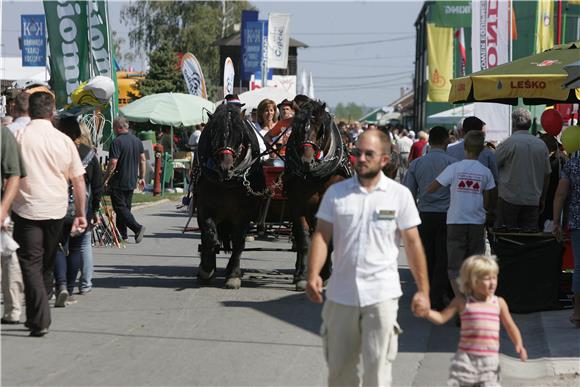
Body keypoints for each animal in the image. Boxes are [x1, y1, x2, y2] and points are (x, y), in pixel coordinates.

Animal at [196, 103, 266, 288]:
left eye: (240, 134)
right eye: (213, 133)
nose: (224, 168)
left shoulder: (244, 213)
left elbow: (239, 241)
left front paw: (233, 274)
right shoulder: (203, 207)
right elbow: (209, 235)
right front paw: (206, 268)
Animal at [284, 100, 352, 292]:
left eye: (320, 128)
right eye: (296, 128)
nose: (306, 161)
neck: (314, 176)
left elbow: (328, 240)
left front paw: (326, 273)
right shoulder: (297, 206)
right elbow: (304, 239)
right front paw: (302, 277)